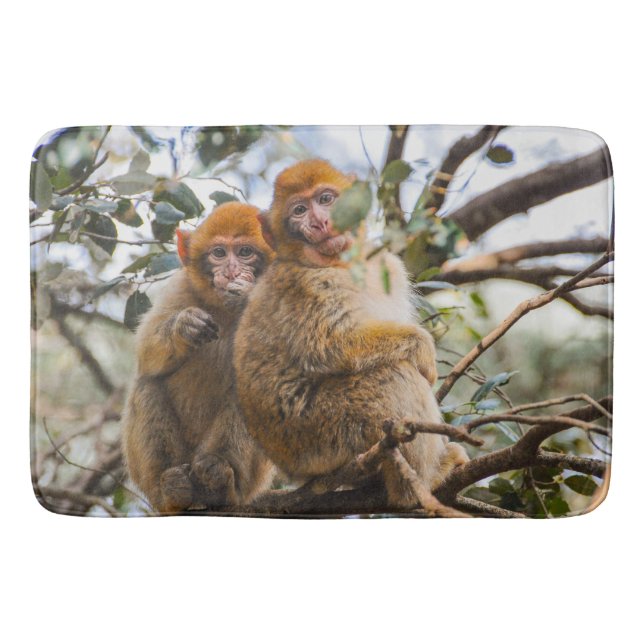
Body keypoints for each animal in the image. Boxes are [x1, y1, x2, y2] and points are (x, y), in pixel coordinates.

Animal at [121, 202, 276, 513]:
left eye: (245, 252)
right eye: (219, 253)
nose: (230, 271)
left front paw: (247, 294)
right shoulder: (182, 287)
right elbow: (146, 354)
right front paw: (184, 327)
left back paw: (219, 480)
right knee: (147, 383)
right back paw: (172, 490)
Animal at [234, 159, 467, 510]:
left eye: (326, 199)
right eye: (299, 210)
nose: (319, 222)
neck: (343, 263)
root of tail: (294, 472)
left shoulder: (388, 265)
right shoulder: (308, 285)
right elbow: (332, 345)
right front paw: (424, 350)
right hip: (321, 434)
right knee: (393, 376)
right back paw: (417, 486)